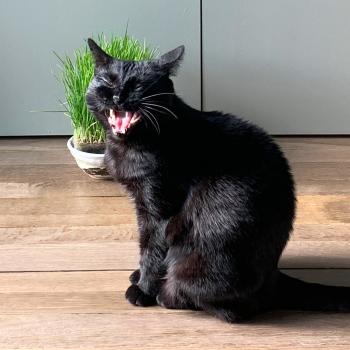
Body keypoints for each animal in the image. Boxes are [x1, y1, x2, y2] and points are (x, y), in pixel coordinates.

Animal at [85, 39, 350, 322]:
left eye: (138, 85)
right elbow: (147, 248)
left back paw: (166, 295)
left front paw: (143, 290)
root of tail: (274, 277)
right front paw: (141, 278)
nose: (117, 96)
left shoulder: (158, 209)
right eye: (108, 80)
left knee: (229, 309)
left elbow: (151, 250)